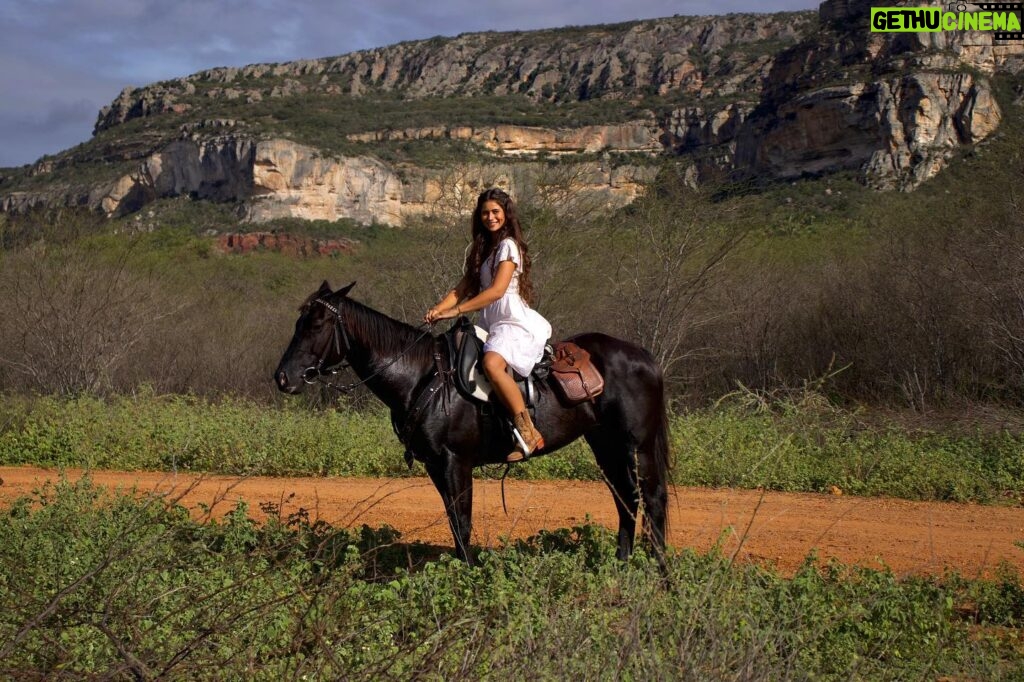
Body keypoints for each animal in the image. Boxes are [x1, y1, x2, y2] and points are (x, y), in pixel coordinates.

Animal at [274, 280, 671, 561]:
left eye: (318, 324)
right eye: (297, 322)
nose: (283, 378)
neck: (421, 377)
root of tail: (645, 357)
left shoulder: (456, 462)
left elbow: (463, 523)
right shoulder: (436, 466)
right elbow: (453, 523)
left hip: (637, 444)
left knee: (652, 499)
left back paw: (659, 571)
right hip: (605, 444)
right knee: (625, 497)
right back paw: (621, 564)